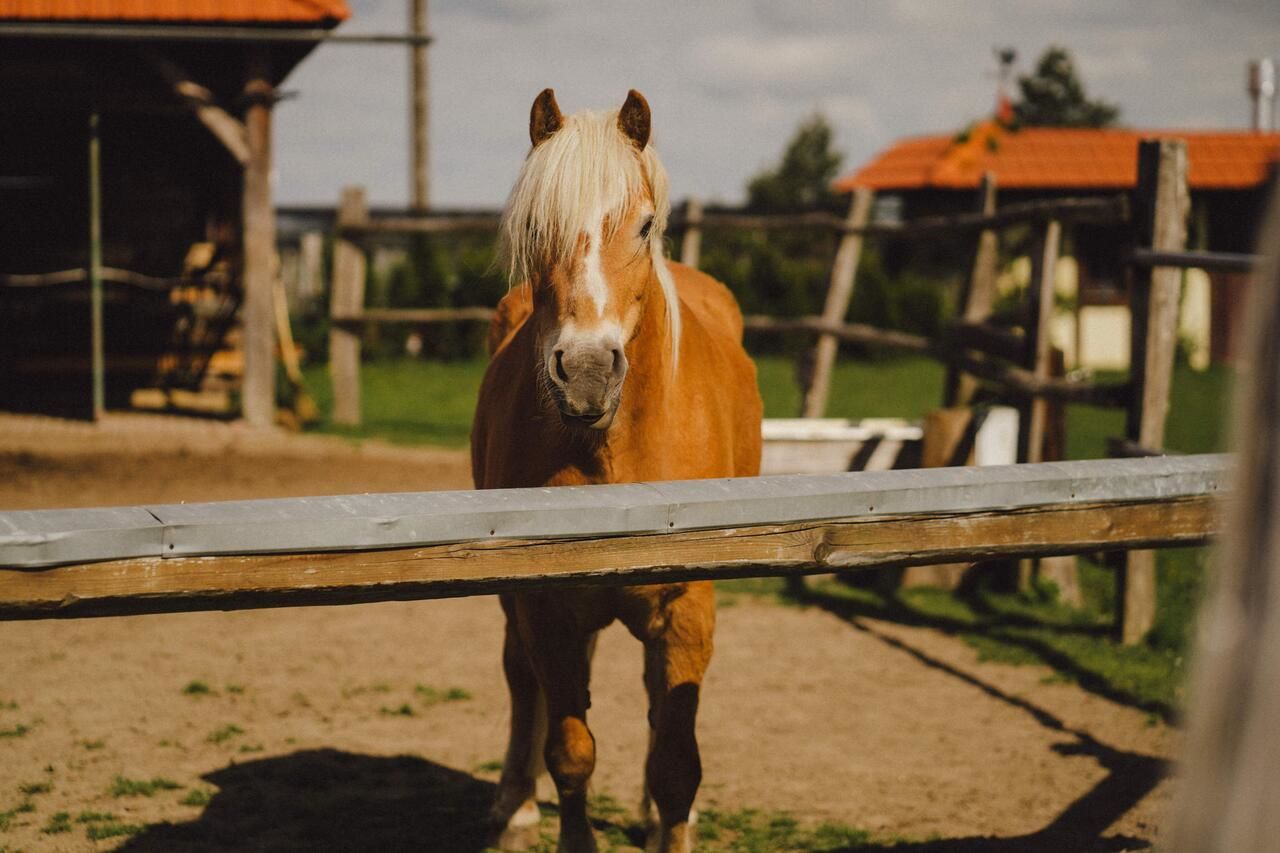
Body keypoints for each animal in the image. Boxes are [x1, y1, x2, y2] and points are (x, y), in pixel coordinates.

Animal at [476, 87, 762, 850]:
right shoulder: (544, 606)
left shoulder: (685, 609)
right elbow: (570, 750)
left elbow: (676, 763)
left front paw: (670, 823)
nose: (585, 372)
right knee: (520, 679)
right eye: (536, 226)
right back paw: (516, 804)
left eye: (645, 224)